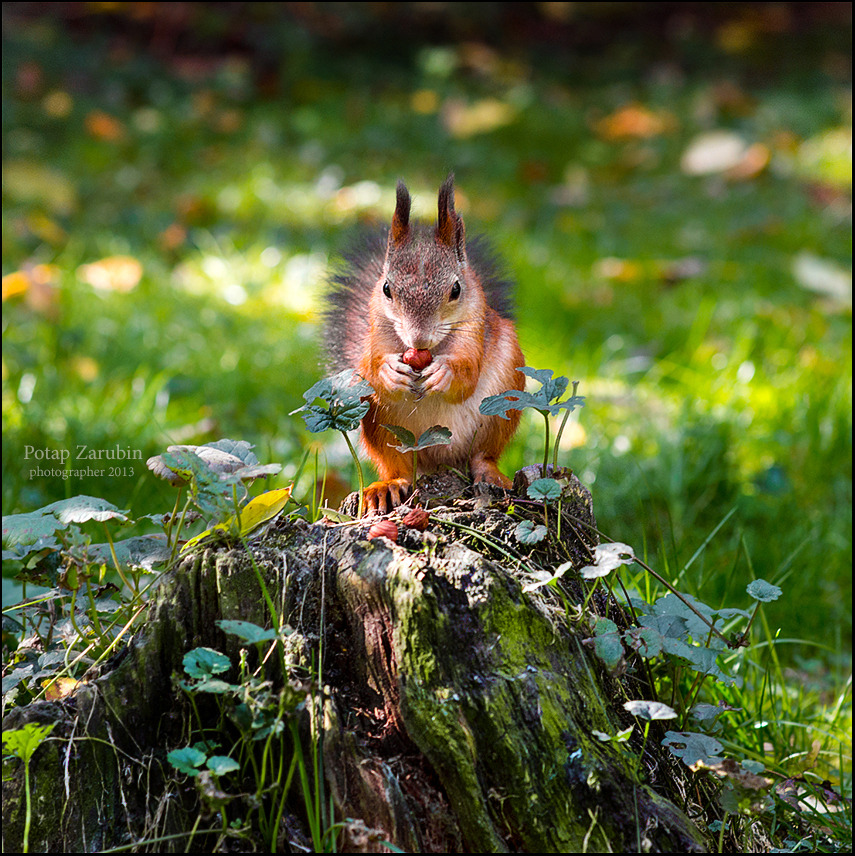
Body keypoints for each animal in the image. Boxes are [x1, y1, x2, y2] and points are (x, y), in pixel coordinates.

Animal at [324, 171, 524, 512]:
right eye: (386, 288)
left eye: (456, 290)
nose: (418, 339)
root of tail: (439, 462)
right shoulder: (376, 329)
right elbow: (372, 363)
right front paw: (389, 371)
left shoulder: (475, 327)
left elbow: (468, 372)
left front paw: (444, 373)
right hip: (381, 427)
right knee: (397, 467)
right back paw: (388, 486)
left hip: (503, 403)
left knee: (483, 455)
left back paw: (491, 474)